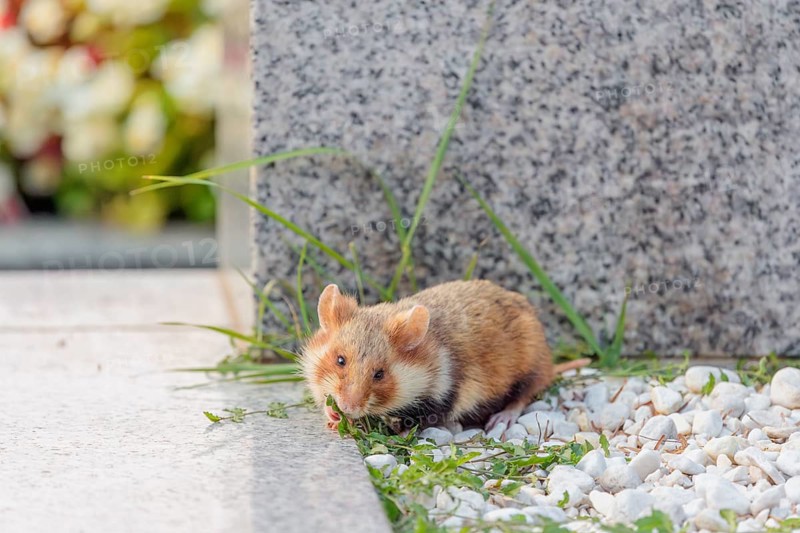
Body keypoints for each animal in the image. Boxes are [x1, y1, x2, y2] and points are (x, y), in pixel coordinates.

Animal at [301, 279, 588, 433]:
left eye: (380, 374)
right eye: (340, 360)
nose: (349, 407)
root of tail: (550, 364)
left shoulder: (439, 401)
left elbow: (415, 424)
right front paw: (334, 419)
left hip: (530, 368)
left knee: (522, 396)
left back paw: (499, 421)